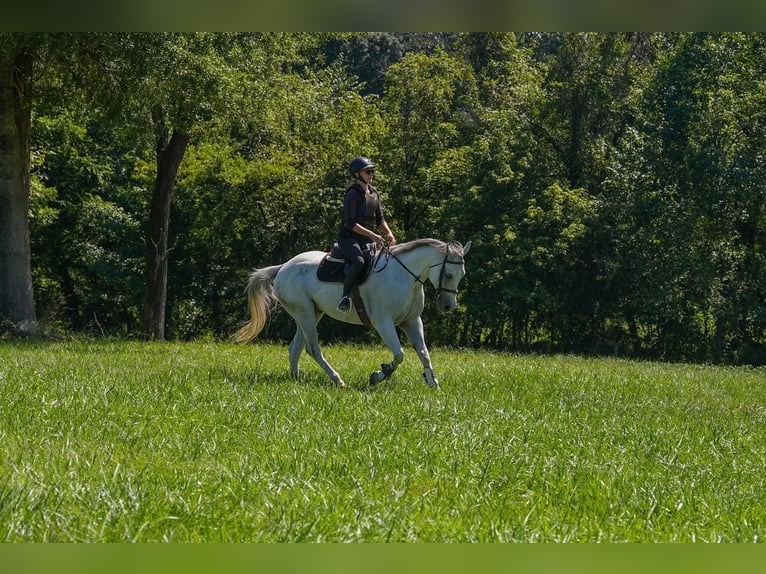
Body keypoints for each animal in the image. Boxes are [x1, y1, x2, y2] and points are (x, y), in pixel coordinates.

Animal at [232, 238, 471, 389]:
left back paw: (296, 380)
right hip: (305, 314)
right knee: (312, 349)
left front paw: (432, 382)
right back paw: (337, 380)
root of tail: (282, 267)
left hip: (311, 314)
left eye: (462, 274)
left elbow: (423, 353)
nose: (449, 307)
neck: (405, 276)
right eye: (449, 274)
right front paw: (380, 374)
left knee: (295, 349)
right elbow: (399, 354)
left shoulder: (412, 322)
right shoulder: (384, 323)